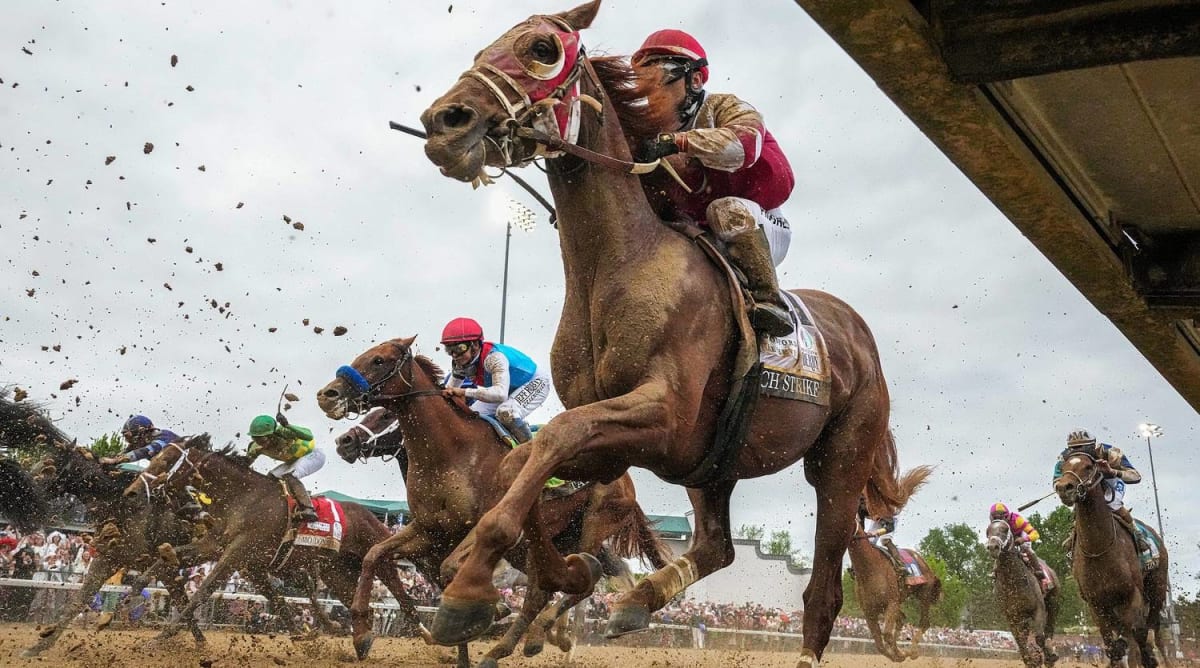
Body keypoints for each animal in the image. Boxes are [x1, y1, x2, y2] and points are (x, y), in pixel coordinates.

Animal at [0, 390, 206, 657]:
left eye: (49, 467)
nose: (19, 488)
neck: (123, 505)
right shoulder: (109, 558)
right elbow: (79, 600)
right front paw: (39, 645)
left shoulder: (160, 563)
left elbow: (186, 601)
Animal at [319, 338, 672, 666]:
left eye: (379, 360)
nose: (329, 395)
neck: (450, 452)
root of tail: (627, 481)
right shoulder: (428, 528)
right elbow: (374, 555)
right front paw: (362, 635)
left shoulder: (478, 527)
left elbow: (449, 573)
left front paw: (477, 620)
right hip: (548, 541)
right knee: (545, 588)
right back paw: (528, 642)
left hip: (595, 522)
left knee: (577, 587)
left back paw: (536, 638)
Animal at [415, 2, 926, 662]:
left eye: (542, 49)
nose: (444, 121)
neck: (617, 265)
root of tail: (862, 336)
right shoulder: (630, 440)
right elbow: (524, 462)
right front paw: (529, 573)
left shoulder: (662, 416)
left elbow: (555, 438)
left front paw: (470, 591)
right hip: (714, 465)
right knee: (717, 547)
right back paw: (634, 602)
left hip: (839, 462)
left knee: (823, 590)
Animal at [984, 520, 1060, 666]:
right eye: (988, 531)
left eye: (1005, 529)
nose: (993, 547)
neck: (1013, 581)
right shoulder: (1012, 615)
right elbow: (1020, 642)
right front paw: (1032, 660)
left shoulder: (1038, 608)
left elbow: (1039, 637)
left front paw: (1047, 657)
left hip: (1053, 600)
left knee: (1050, 627)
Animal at [1056, 448, 1166, 666]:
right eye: (1063, 468)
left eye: (1088, 466)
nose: (1065, 488)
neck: (1099, 548)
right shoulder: (1096, 605)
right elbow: (1113, 646)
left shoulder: (1131, 597)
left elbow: (1136, 636)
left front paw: (1147, 657)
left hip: (1156, 591)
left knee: (1152, 631)